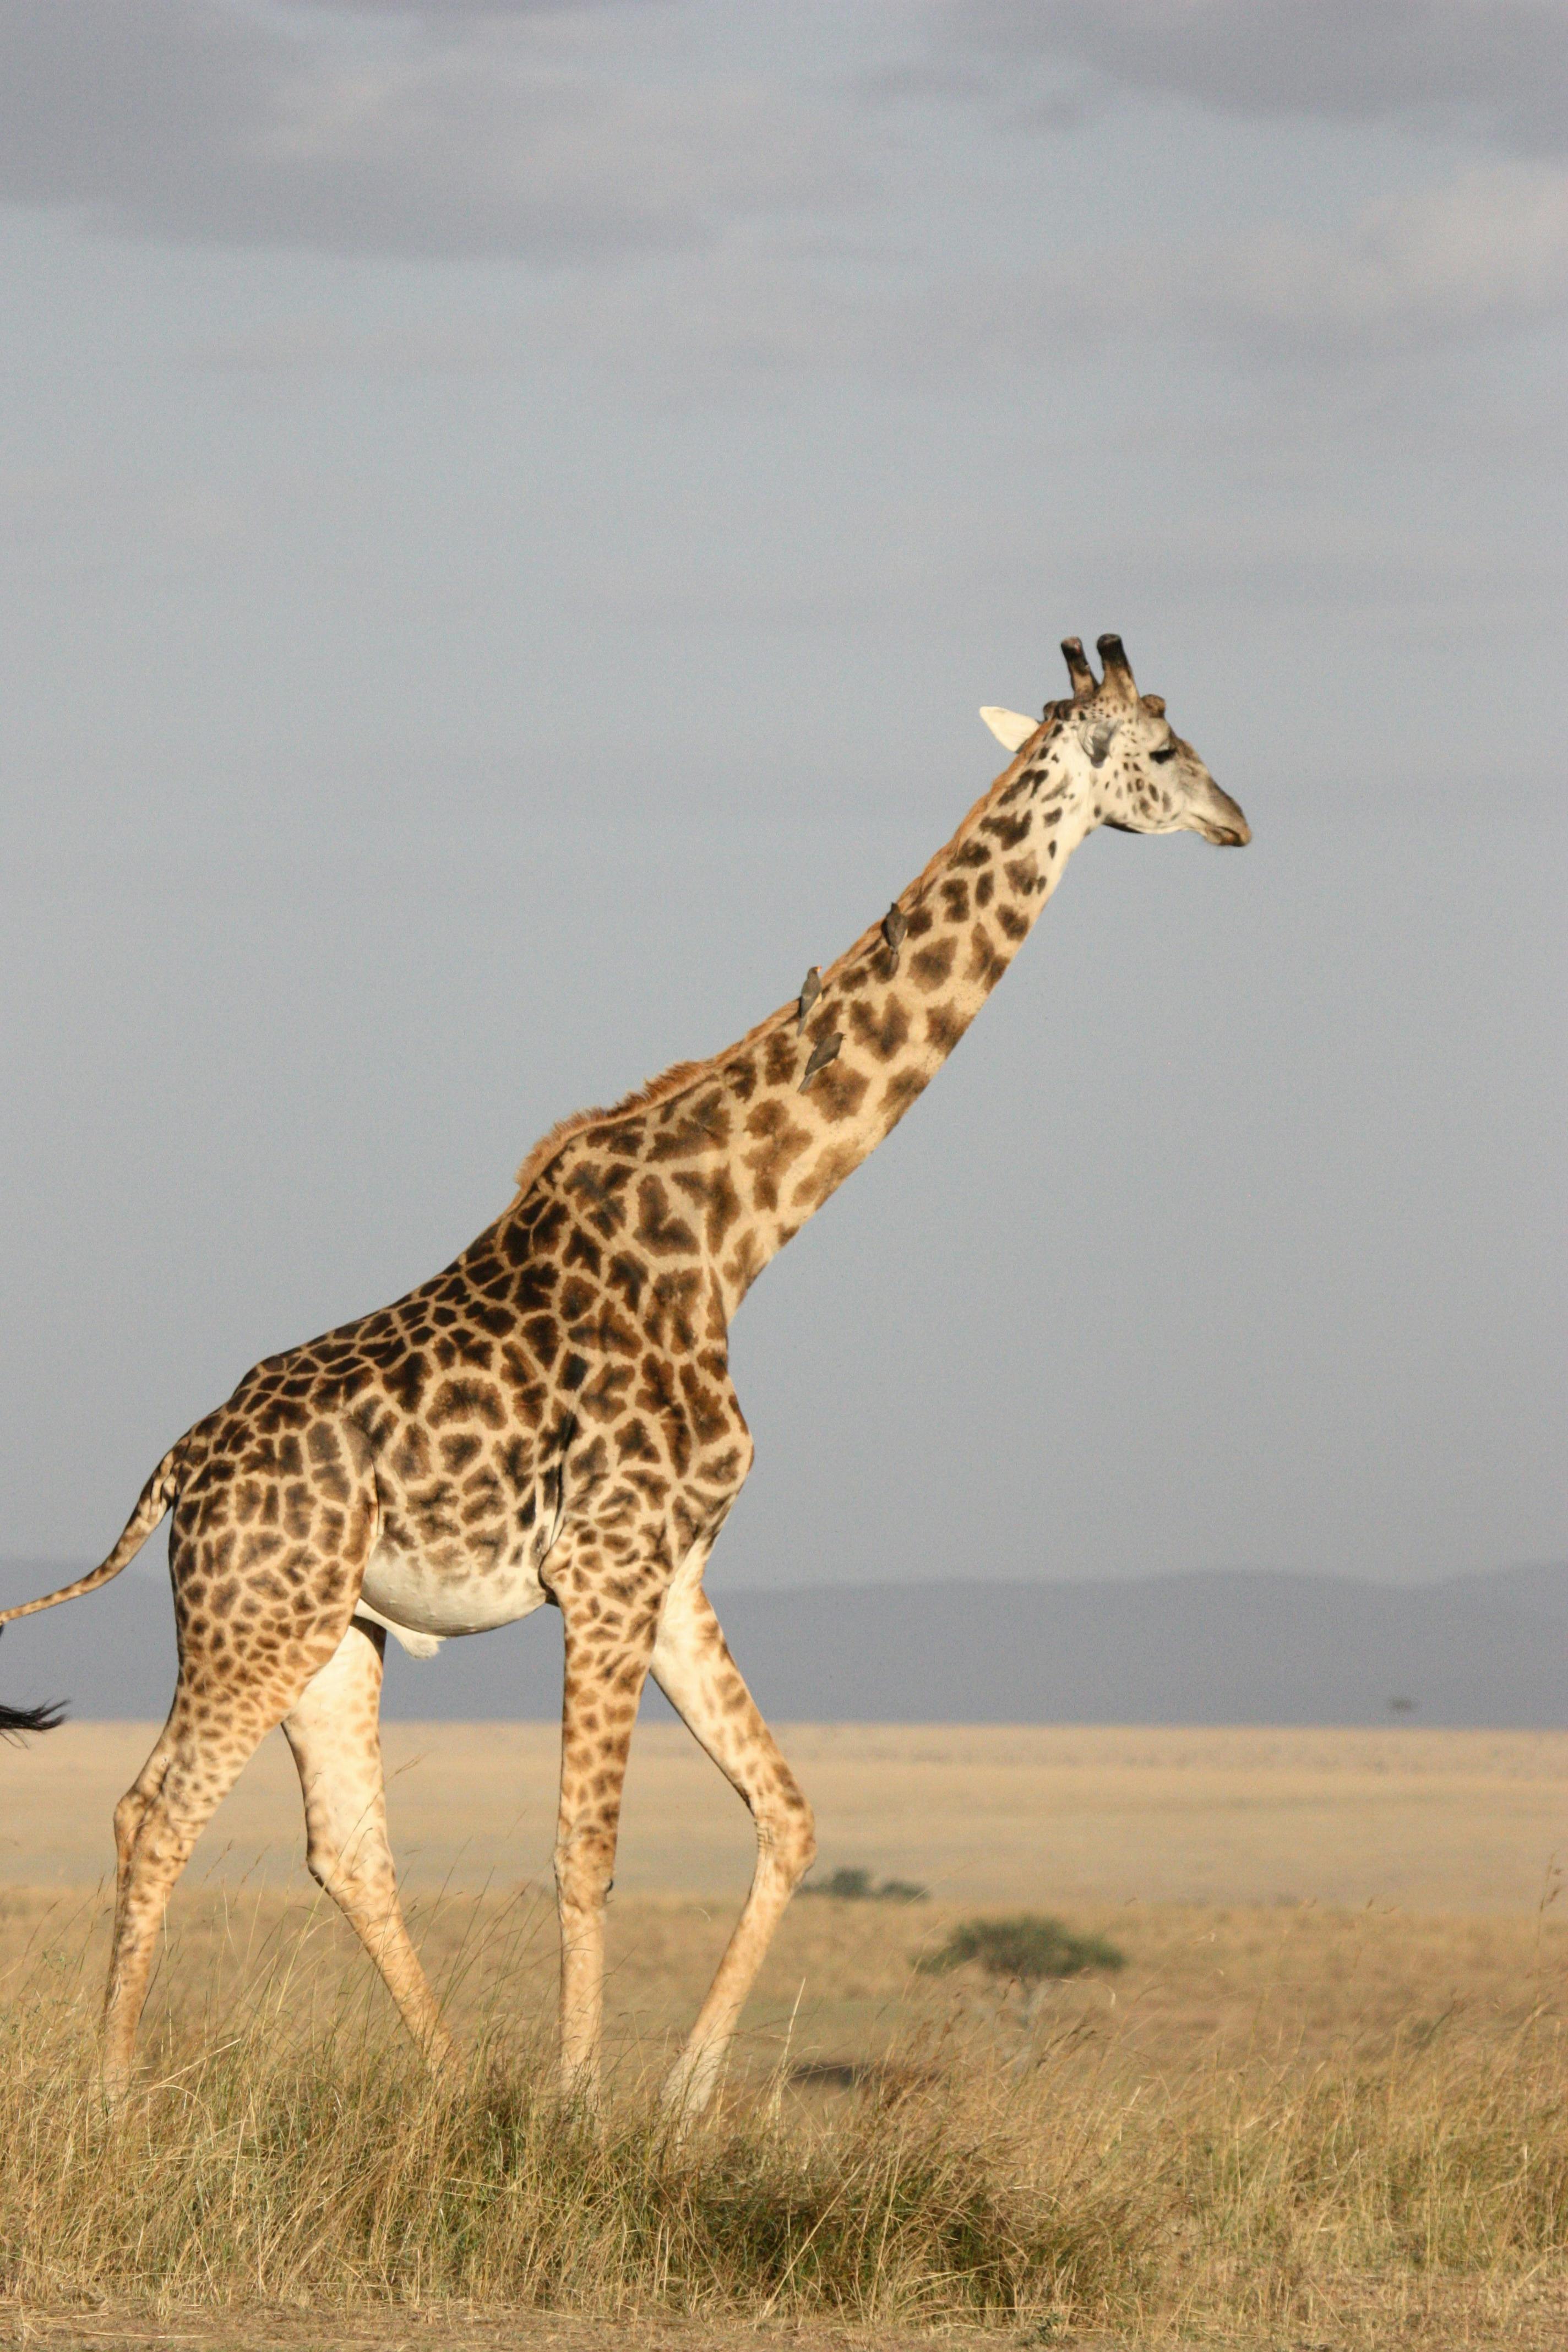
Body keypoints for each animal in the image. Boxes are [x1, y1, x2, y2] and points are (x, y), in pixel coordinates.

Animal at [1, 635, 1249, 2111]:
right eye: (1162, 751)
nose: (1237, 820)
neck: (735, 1233)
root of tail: (176, 1471)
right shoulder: (602, 1565)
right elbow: (583, 1851)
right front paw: (577, 2105)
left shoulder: (674, 1568)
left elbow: (787, 1814)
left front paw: (680, 2098)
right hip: (254, 1618)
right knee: (154, 1810)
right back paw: (115, 2095)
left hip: (330, 1632)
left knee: (343, 1844)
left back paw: (450, 2083)